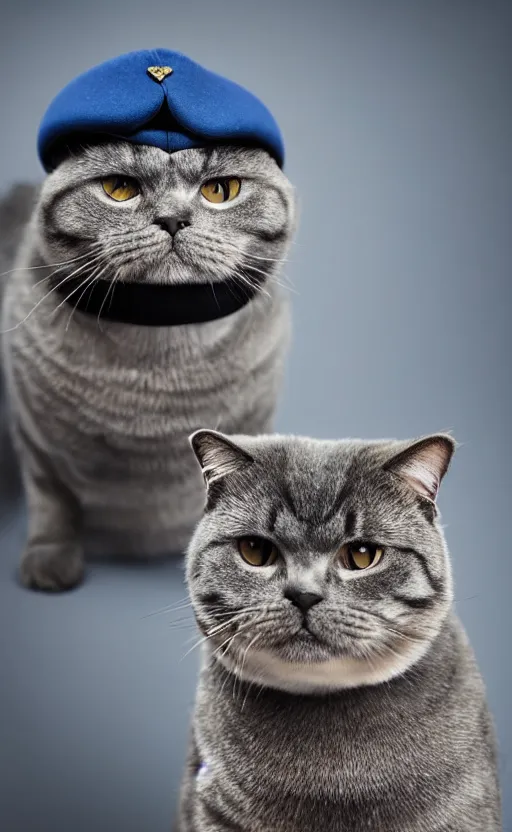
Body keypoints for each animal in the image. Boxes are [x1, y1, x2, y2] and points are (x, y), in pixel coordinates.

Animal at [1, 48, 296, 592]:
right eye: (119, 188)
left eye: (220, 190)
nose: (173, 219)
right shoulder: (34, 437)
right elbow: (51, 504)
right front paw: (50, 562)